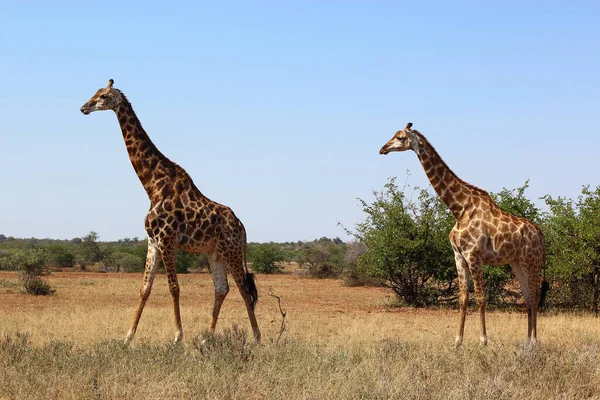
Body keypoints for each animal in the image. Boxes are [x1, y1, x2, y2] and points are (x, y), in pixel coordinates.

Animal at [79, 79, 260, 344]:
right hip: (215, 253)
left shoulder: (167, 240)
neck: (153, 186)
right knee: (222, 288)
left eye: (102, 96)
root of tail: (242, 227)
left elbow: (174, 288)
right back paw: (206, 338)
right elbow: (145, 289)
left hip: (232, 250)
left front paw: (177, 337)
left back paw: (257, 338)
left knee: (245, 289)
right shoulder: (153, 241)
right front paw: (127, 338)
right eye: (94, 92)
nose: (84, 108)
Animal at [382, 123, 548, 346]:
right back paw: (527, 342)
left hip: (532, 260)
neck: (459, 208)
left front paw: (483, 341)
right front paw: (457, 341)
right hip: (517, 262)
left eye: (400, 137)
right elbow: (463, 298)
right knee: (528, 297)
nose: (382, 149)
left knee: (535, 296)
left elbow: (481, 297)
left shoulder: (474, 255)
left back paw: (535, 342)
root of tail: (539, 233)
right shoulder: (458, 256)